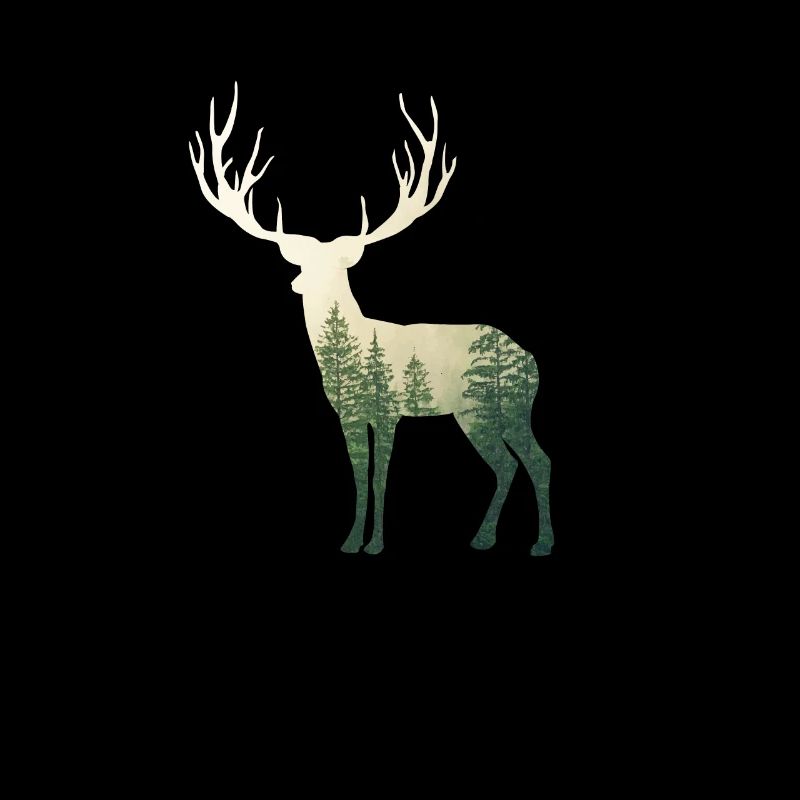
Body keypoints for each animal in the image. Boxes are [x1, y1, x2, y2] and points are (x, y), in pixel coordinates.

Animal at [189, 83, 553, 556]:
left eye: (336, 267)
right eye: (304, 263)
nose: (299, 284)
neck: (358, 350)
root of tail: (531, 359)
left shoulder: (389, 408)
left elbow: (381, 476)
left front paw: (376, 544)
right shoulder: (345, 413)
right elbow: (359, 477)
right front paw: (349, 542)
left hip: (509, 403)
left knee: (537, 459)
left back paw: (540, 543)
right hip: (471, 412)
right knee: (503, 465)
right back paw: (482, 538)